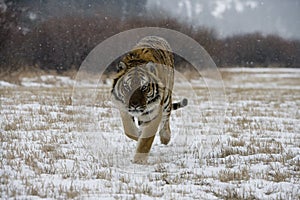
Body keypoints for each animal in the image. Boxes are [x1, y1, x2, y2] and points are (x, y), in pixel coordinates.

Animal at [111, 36, 188, 164]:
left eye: (144, 87)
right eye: (127, 87)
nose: (134, 104)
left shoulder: (155, 111)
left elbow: (146, 140)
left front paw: (139, 160)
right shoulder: (123, 108)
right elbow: (129, 129)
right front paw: (137, 135)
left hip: (167, 98)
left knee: (166, 117)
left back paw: (165, 137)